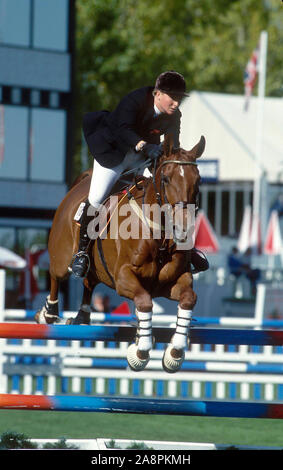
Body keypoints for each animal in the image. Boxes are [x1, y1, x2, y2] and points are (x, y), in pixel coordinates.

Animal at [35, 134, 206, 372]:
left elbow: (189, 298)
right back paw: (48, 313)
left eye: (197, 181)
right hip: (61, 257)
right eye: (166, 179)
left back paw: (82, 316)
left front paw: (175, 352)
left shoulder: (173, 281)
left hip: (96, 270)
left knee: (88, 282)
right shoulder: (124, 278)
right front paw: (140, 351)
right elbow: (144, 302)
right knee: (55, 275)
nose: (183, 228)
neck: (159, 235)